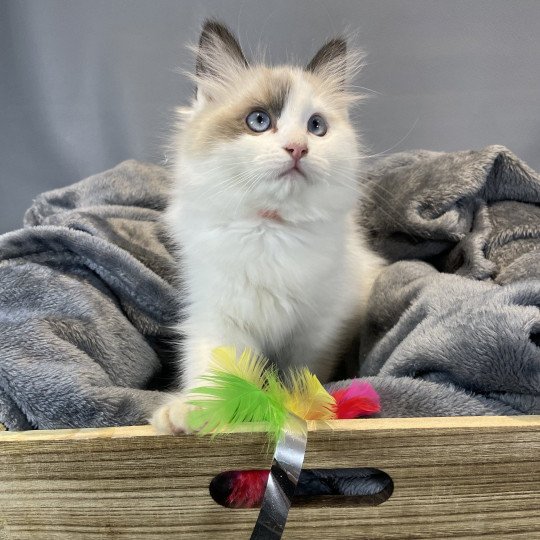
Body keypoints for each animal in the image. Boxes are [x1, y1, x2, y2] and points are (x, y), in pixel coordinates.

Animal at [152, 22, 384, 434]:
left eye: (316, 127)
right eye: (259, 121)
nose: (297, 148)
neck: (270, 231)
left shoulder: (320, 327)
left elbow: (301, 375)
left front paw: (298, 407)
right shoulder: (220, 315)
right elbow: (213, 368)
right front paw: (190, 410)